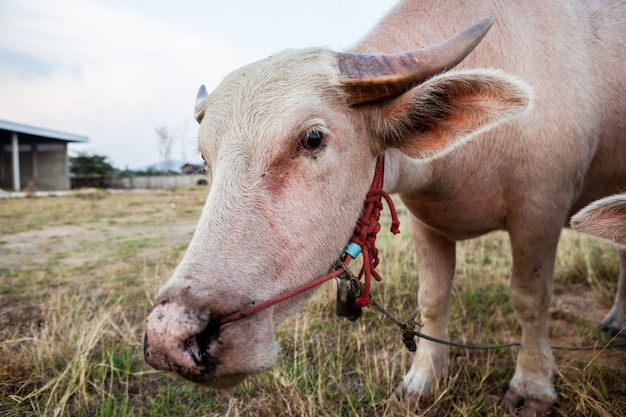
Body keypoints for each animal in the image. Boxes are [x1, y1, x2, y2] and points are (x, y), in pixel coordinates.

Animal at [144, 1, 624, 414]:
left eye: (313, 138)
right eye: (205, 157)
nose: (170, 335)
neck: (478, 144)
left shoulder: (540, 212)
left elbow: (530, 300)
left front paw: (533, 385)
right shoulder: (426, 220)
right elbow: (432, 298)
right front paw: (421, 381)